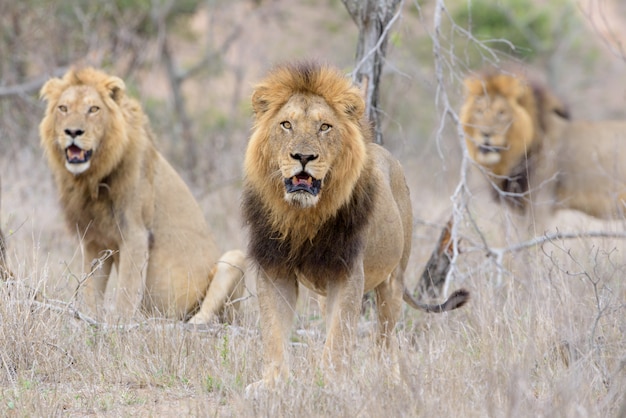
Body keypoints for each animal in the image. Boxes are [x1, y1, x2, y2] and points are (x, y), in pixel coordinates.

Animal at [38, 68, 244, 324]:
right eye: (63, 108)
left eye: (93, 109)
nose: (73, 132)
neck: (92, 178)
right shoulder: (94, 240)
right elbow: (90, 290)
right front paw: (88, 320)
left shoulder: (136, 235)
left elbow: (126, 295)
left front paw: (119, 326)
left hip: (235, 260)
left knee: (206, 316)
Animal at [241, 60, 466, 390]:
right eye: (286, 125)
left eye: (325, 126)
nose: (303, 156)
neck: (303, 216)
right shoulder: (274, 268)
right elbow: (273, 330)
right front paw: (272, 384)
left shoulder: (346, 271)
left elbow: (340, 336)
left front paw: (333, 384)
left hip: (392, 280)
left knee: (385, 338)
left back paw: (388, 379)